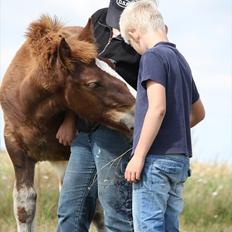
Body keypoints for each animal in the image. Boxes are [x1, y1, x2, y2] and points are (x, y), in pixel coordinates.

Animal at [0, 15, 136, 232]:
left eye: (113, 66)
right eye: (93, 83)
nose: (139, 108)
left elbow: (93, 211)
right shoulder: (17, 150)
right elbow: (24, 208)